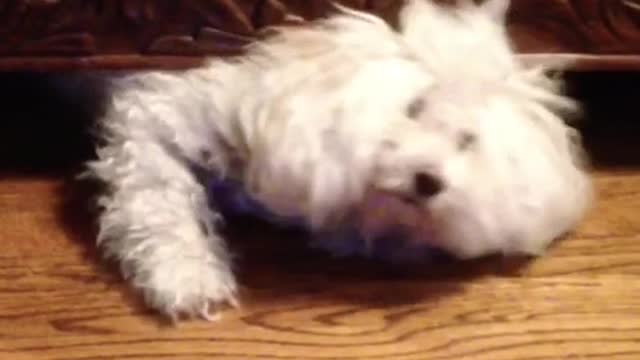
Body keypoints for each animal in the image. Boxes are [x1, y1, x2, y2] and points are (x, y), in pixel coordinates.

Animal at [85, 0, 592, 320]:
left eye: (467, 140)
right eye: (414, 108)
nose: (430, 180)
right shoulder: (155, 118)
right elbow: (158, 205)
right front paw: (187, 278)